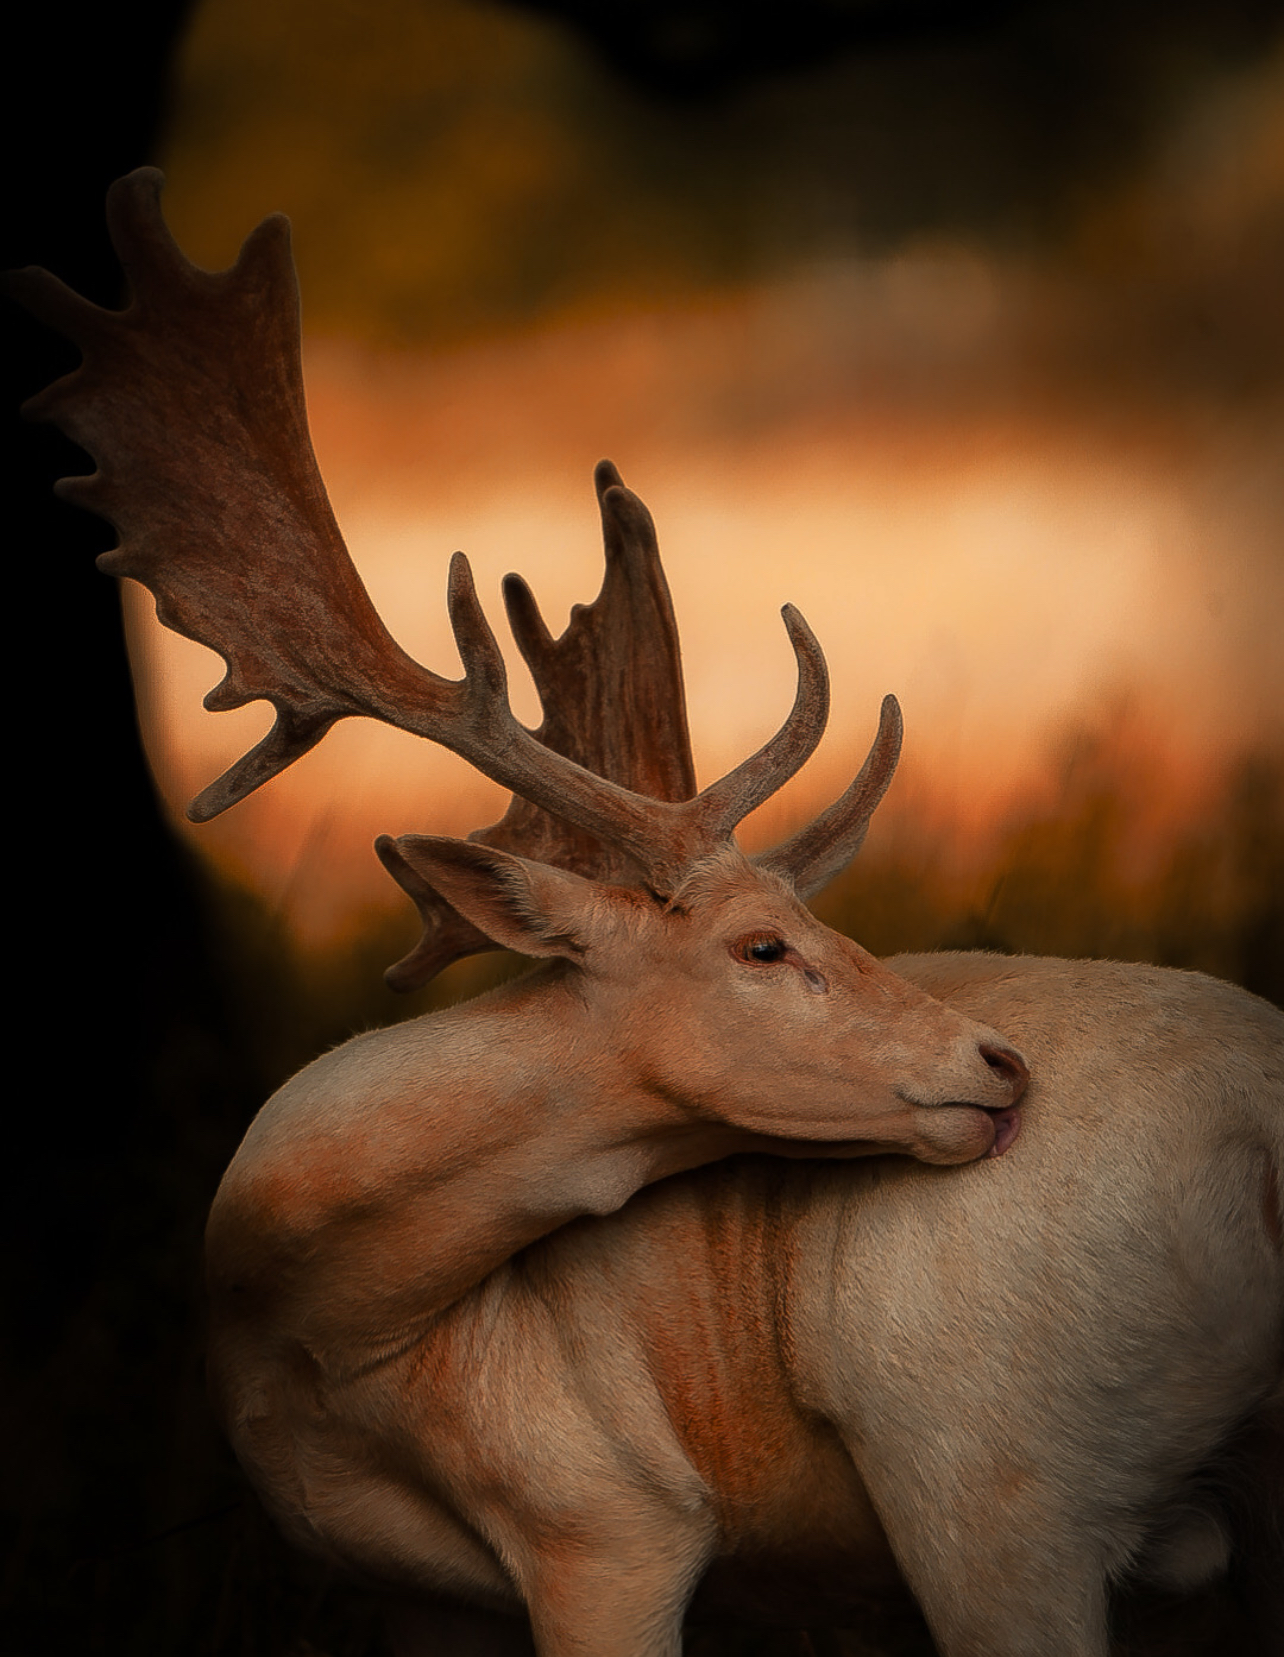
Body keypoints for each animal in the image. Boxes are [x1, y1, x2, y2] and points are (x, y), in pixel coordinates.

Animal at [14, 171, 1282, 1657]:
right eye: (762, 942)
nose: (999, 1063)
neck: (314, 1333)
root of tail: (1258, 1135)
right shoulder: (411, 1598)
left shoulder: (609, 1519)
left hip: (985, 1471)